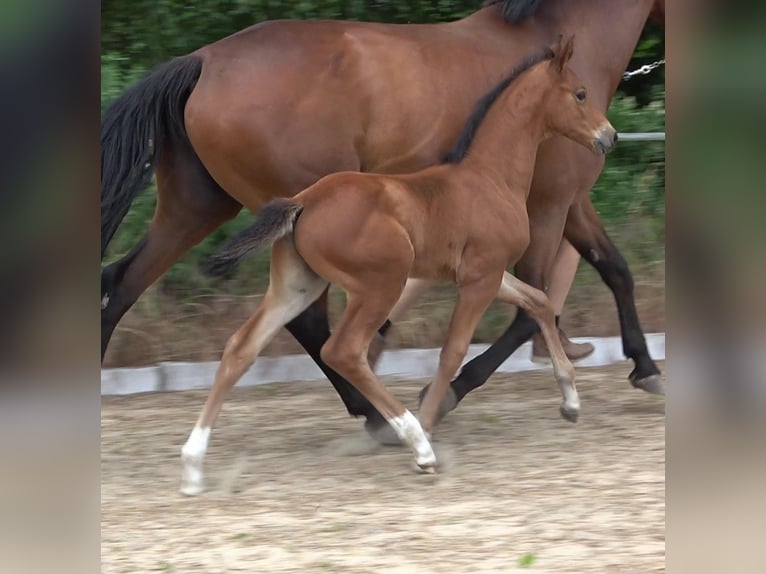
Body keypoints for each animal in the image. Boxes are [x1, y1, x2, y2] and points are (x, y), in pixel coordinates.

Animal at [102, 0, 664, 440]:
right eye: (579, 94)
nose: (610, 137)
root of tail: (203, 59)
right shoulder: (550, 205)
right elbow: (531, 310)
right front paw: (447, 392)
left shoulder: (570, 204)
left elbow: (611, 271)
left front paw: (644, 368)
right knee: (313, 324)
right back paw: (377, 416)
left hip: (195, 208)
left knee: (121, 282)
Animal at [183, 37, 620, 496]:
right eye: (580, 93)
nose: (609, 136)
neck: (490, 177)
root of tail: (304, 202)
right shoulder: (479, 279)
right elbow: (453, 350)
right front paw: (428, 423)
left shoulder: (491, 274)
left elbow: (539, 302)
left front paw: (571, 401)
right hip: (381, 282)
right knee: (343, 350)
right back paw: (418, 445)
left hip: (297, 287)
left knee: (240, 348)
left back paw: (193, 468)